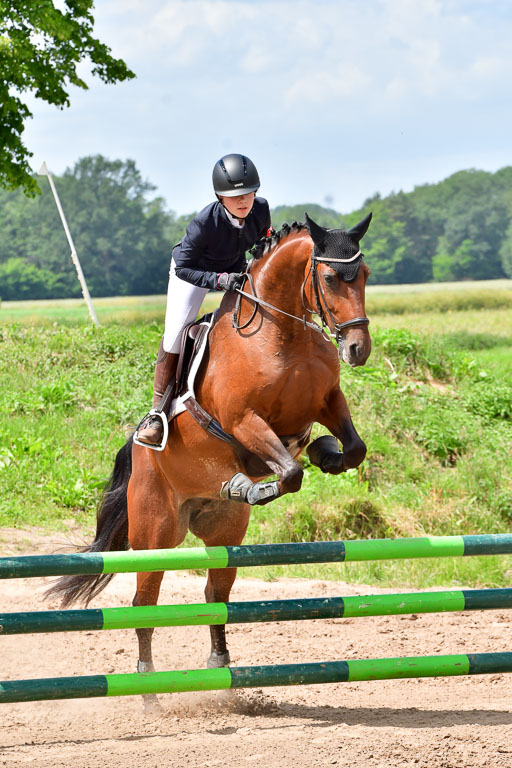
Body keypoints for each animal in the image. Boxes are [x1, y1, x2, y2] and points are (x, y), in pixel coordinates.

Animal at [48, 211, 373, 682]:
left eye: (365, 275)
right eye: (330, 278)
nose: (358, 349)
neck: (283, 334)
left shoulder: (327, 400)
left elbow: (352, 448)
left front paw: (323, 453)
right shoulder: (243, 420)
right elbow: (289, 471)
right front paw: (258, 485)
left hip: (225, 531)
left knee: (215, 593)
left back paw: (220, 664)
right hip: (154, 532)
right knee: (144, 602)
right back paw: (147, 680)